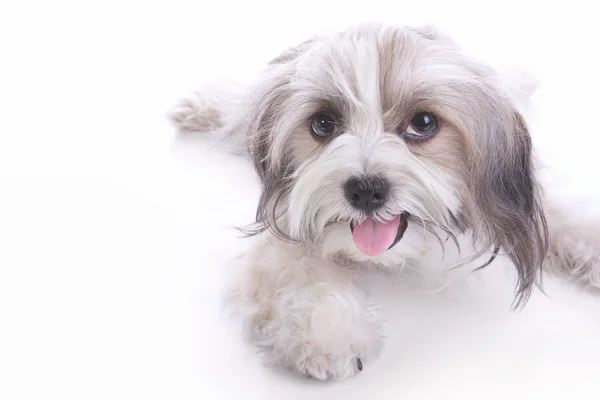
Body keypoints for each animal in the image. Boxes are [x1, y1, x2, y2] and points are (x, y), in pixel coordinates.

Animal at [169, 23, 600, 380]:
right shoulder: (285, 219)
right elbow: (299, 268)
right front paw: (328, 331)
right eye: (323, 124)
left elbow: (563, 217)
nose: (365, 189)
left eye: (423, 123)